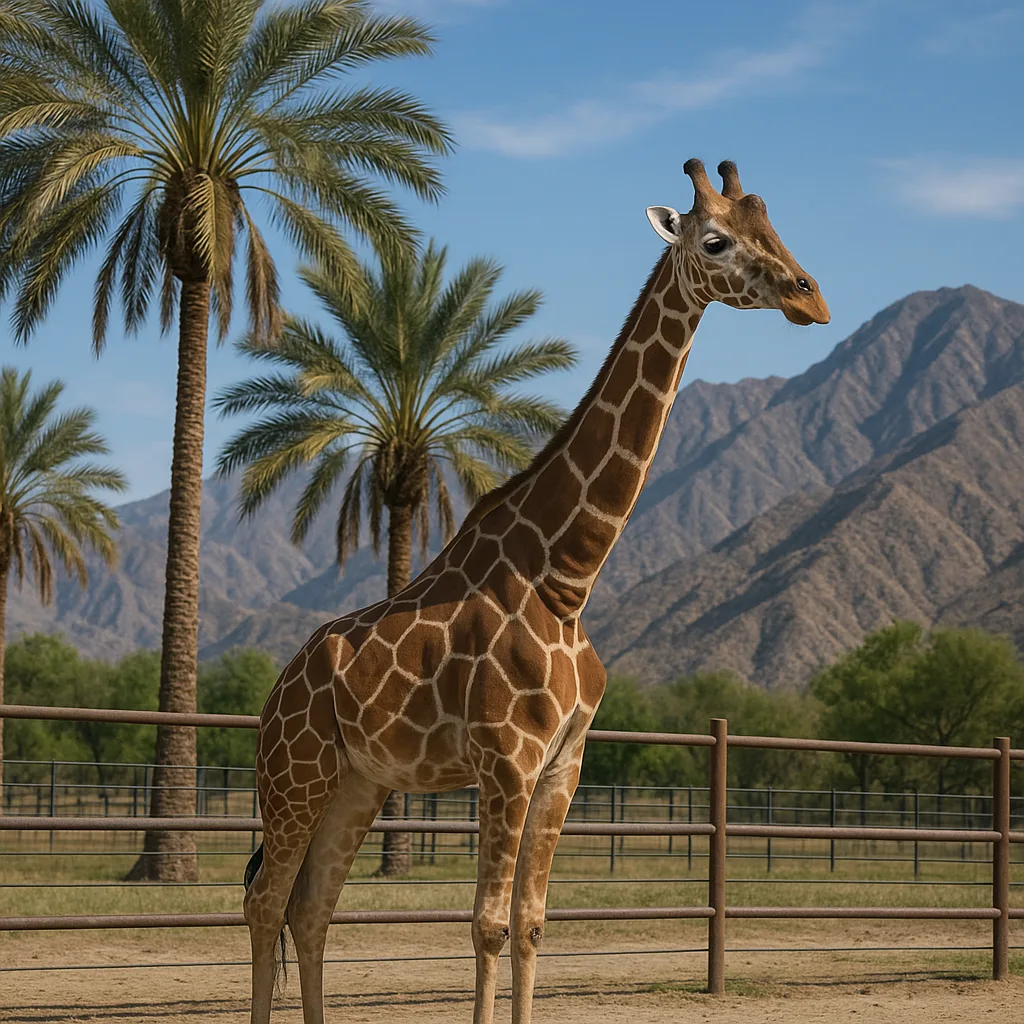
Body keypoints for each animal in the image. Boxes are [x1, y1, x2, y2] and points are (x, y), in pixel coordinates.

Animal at [243, 158, 830, 1024]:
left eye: (774, 226)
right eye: (717, 239)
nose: (809, 296)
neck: (566, 580)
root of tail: (279, 688)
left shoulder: (563, 766)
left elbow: (530, 922)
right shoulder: (506, 763)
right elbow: (486, 924)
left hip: (359, 783)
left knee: (310, 906)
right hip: (295, 773)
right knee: (264, 902)